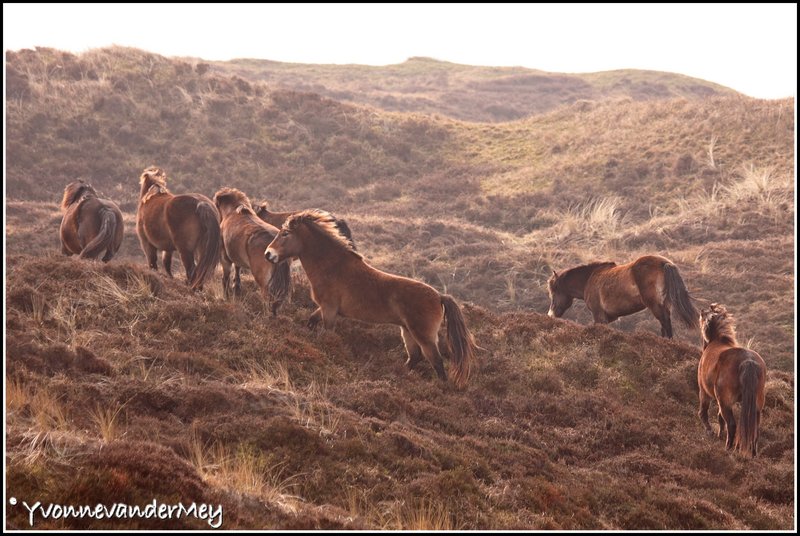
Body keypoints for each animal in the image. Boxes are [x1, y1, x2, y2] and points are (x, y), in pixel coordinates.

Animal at [266, 207, 478, 388]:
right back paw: (397, 375)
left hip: (423, 336)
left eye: (285, 233)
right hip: (407, 331)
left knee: (436, 361)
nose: (268, 254)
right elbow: (311, 320)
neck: (332, 267)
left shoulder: (329, 309)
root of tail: (439, 296)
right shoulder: (325, 308)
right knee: (415, 357)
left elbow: (326, 333)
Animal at [548, 253, 696, 338]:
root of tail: (665, 263)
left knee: (665, 322)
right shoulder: (609, 317)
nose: (551, 314)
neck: (589, 278)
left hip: (655, 305)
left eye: (554, 291)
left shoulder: (599, 315)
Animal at [696, 304, 764, 458]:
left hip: (725, 401)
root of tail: (748, 361)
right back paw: (753, 453)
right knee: (754, 428)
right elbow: (720, 418)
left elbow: (704, 413)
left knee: (732, 424)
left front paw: (710, 431)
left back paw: (728, 448)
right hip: (756, 405)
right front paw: (719, 434)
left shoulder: (704, 392)